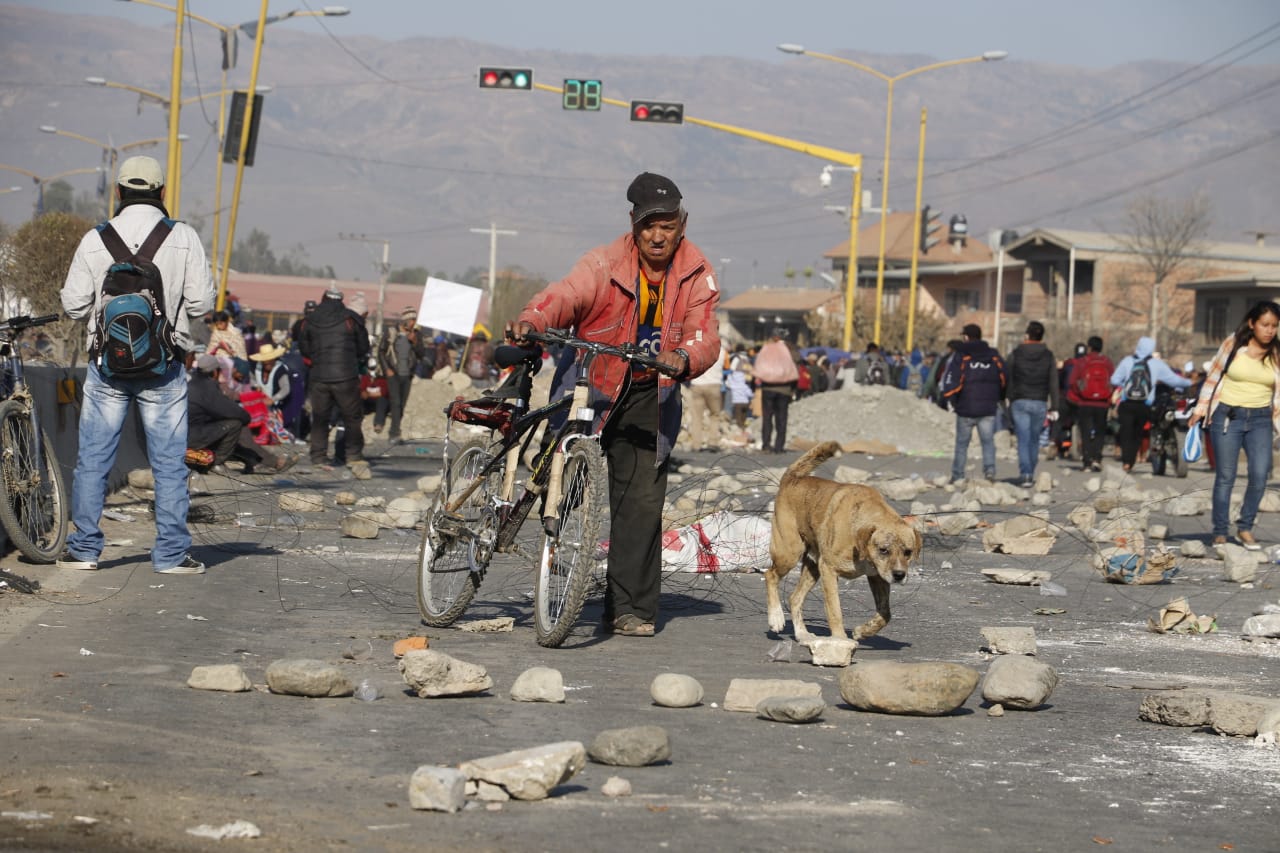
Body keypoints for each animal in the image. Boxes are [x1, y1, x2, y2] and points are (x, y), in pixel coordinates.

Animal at [762, 438, 926, 637]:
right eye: (883, 550)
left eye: (908, 552)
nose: (899, 575)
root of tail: (792, 478)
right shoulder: (829, 570)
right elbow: (835, 611)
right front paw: (840, 639)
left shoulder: (877, 577)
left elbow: (885, 613)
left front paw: (864, 631)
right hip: (789, 553)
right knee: (770, 575)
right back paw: (776, 618)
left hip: (812, 567)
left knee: (794, 598)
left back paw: (802, 634)